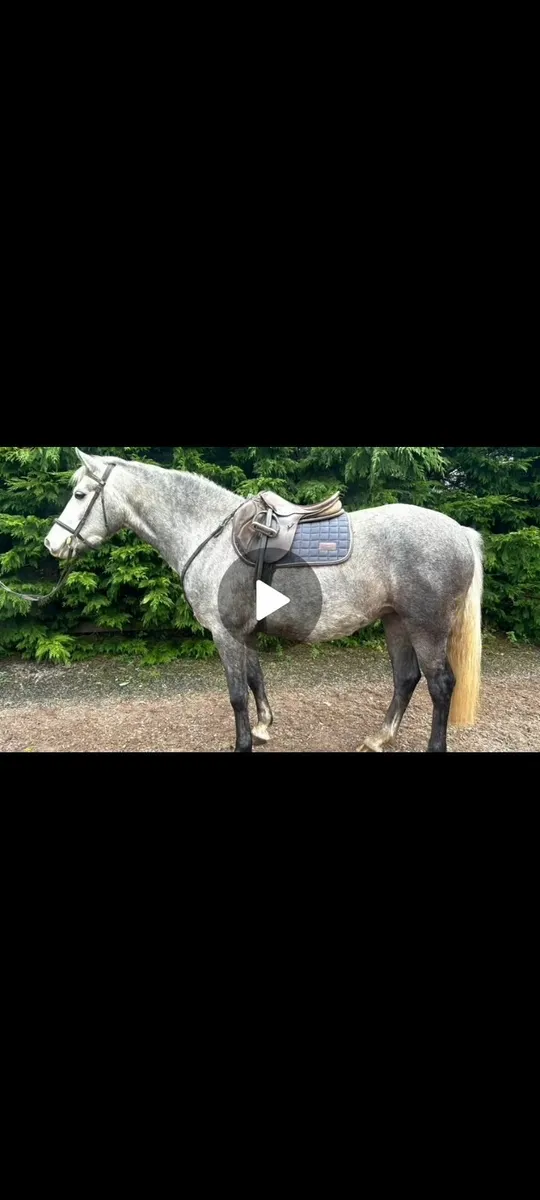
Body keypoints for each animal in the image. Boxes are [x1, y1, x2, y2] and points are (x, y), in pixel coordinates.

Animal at [44, 449, 483, 753]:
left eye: (80, 494)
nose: (52, 543)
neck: (212, 536)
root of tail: (460, 532)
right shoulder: (244, 632)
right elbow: (255, 677)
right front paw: (263, 728)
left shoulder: (225, 634)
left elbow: (236, 693)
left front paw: (243, 743)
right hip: (395, 622)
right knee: (406, 678)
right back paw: (379, 738)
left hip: (426, 627)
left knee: (441, 685)